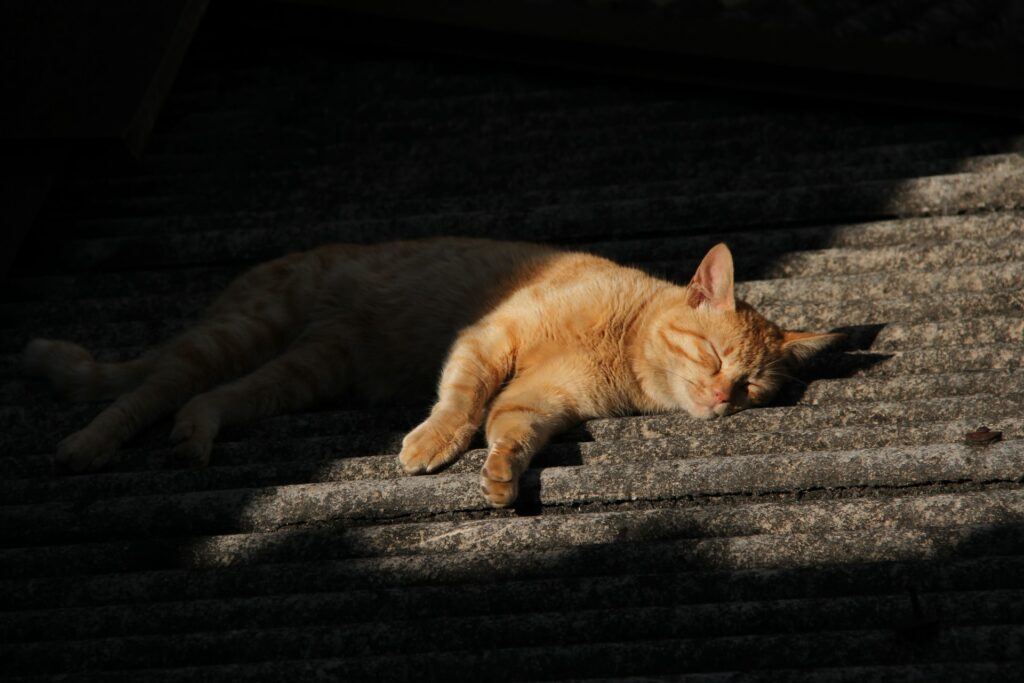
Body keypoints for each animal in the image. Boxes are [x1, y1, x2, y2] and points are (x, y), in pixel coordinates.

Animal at [24, 237, 839, 505]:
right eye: (714, 358)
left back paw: (193, 438)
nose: (722, 397)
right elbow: (462, 401)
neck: (621, 342)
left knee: (207, 399)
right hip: (237, 333)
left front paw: (501, 475)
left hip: (301, 371)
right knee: (146, 388)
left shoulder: (541, 399)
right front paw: (432, 444)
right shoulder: (489, 338)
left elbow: (510, 429)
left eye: (753, 386)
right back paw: (87, 445)